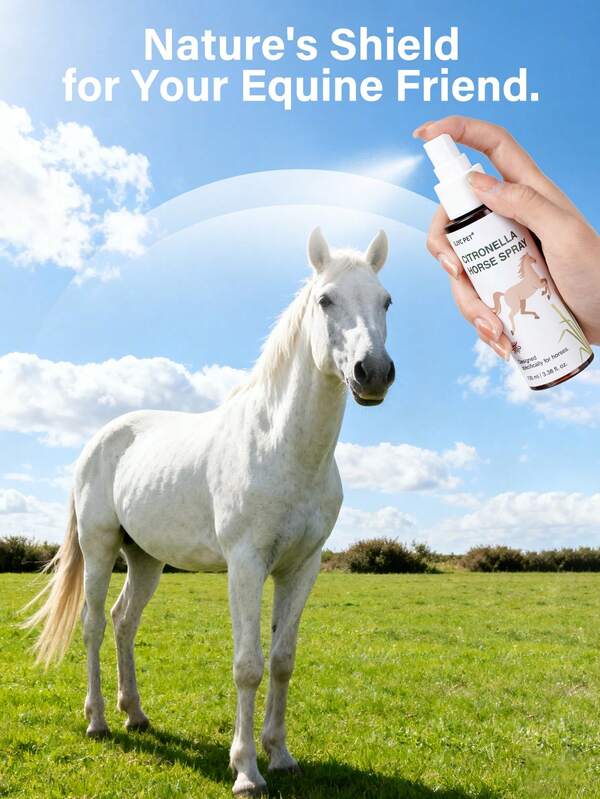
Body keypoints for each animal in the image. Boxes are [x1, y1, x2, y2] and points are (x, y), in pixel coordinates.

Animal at [24, 226, 395, 797]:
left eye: (386, 301)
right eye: (325, 300)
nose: (372, 372)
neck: (281, 445)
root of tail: (99, 439)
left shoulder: (301, 568)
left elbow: (282, 661)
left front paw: (280, 755)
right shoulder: (245, 564)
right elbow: (248, 665)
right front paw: (246, 770)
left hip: (146, 559)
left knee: (123, 622)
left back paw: (136, 715)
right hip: (99, 547)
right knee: (92, 624)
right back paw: (100, 721)